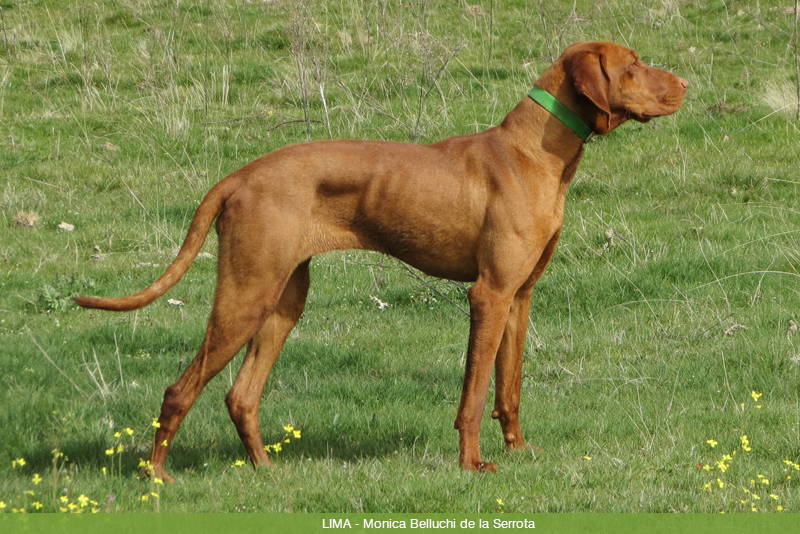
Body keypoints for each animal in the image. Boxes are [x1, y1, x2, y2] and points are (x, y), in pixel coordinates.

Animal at [76, 39, 688, 480]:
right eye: (634, 65)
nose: (686, 83)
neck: (534, 151)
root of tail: (240, 175)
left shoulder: (520, 296)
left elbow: (508, 387)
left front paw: (517, 450)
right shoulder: (488, 294)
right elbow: (473, 394)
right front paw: (472, 465)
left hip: (282, 301)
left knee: (240, 394)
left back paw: (266, 469)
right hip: (245, 296)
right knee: (180, 390)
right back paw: (157, 478)